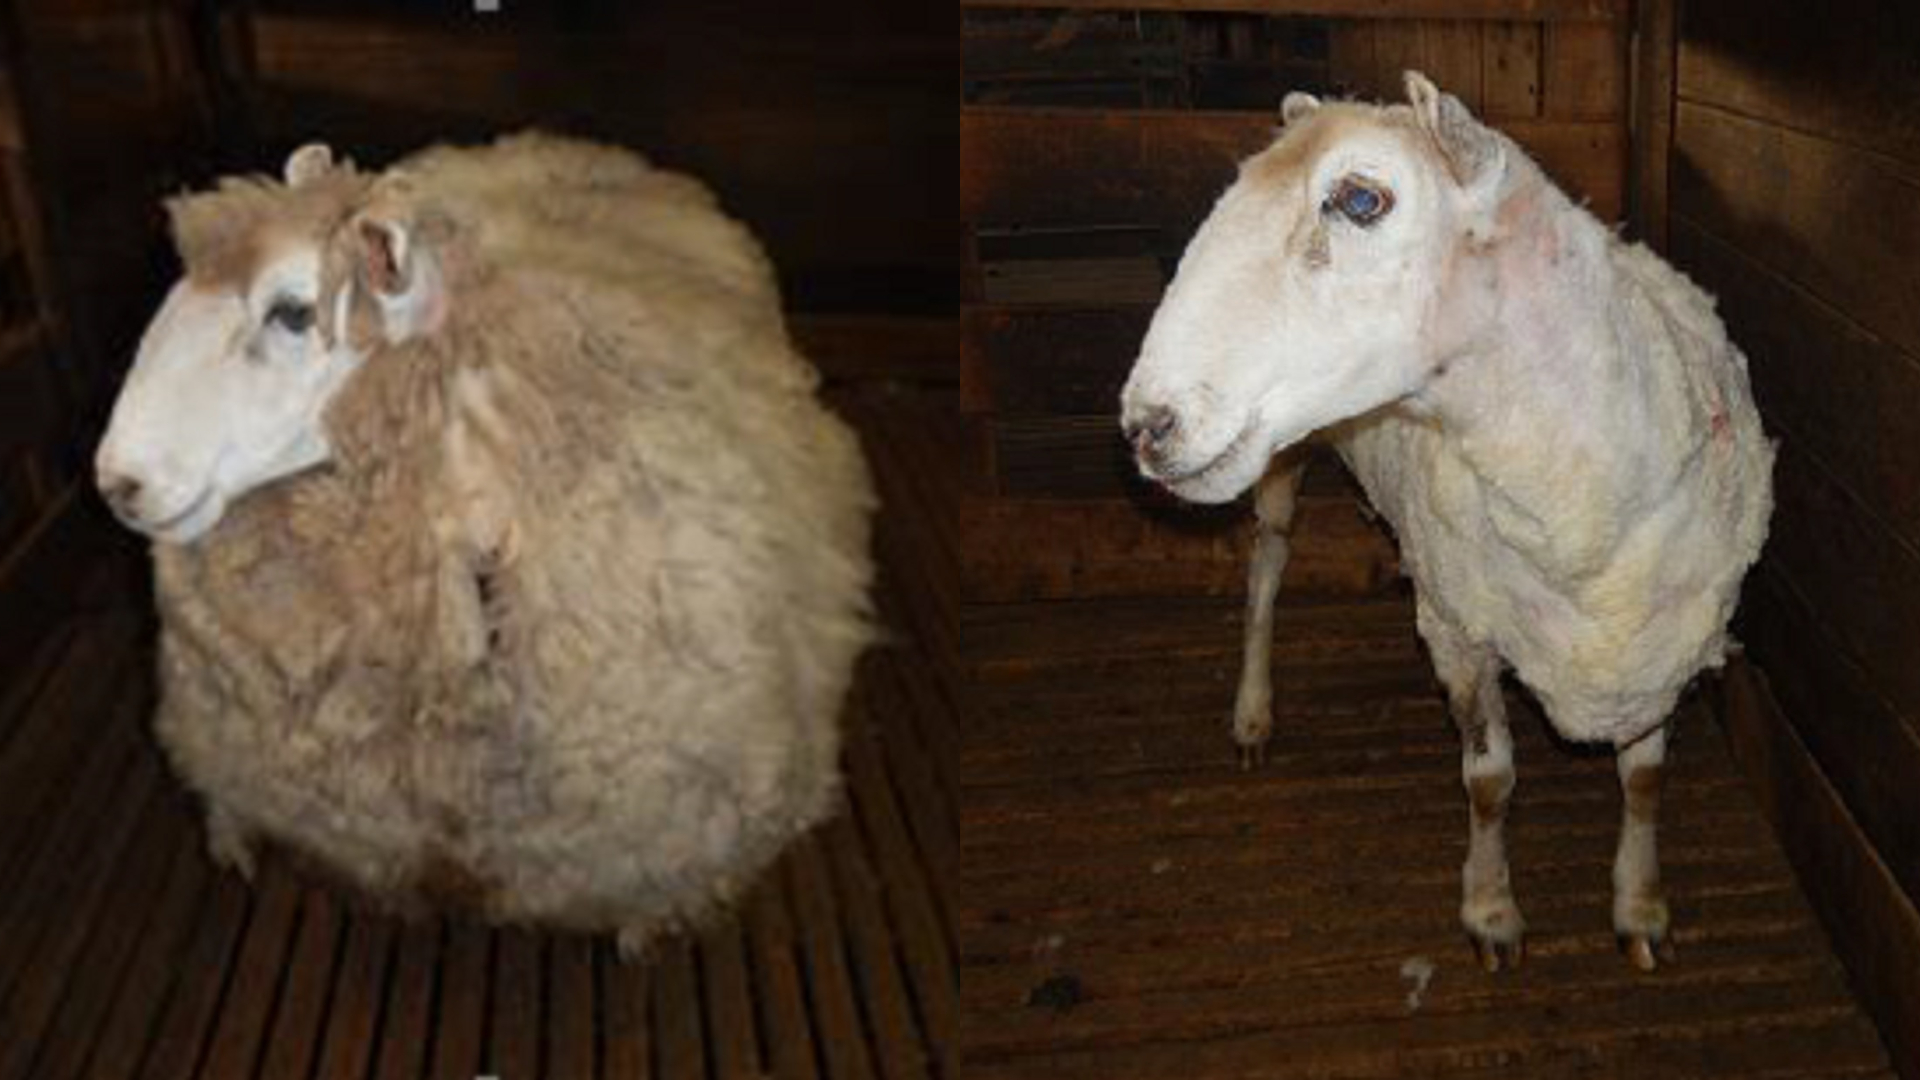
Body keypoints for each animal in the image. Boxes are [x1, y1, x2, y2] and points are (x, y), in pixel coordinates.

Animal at [1121, 75, 1774, 968]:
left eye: (1361, 198)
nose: (1145, 425)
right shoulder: (1462, 629)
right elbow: (1490, 781)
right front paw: (1491, 909)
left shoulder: (1657, 652)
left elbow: (1644, 780)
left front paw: (1640, 905)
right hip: (1280, 463)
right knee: (1267, 569)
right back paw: (1252, 709)